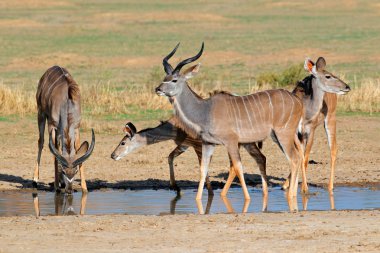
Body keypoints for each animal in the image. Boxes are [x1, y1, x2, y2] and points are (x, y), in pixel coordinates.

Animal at [33, 65, 95, 194]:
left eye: (75, 171)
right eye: (64, 171)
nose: (69, 190)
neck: (66, 104)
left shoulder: (76, 127)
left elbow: (77, 150)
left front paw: (84, 188)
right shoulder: (52, 126)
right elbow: (55, 154)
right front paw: (56, 186)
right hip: (41, 113)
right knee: (41, 142)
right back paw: (35, 179)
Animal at [156, 43, 304, 210]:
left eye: (174, 80)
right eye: (164, 78)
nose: (158, 89)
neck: (205, 110)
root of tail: (298, 101)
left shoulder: (231, 141)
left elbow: (238, 166)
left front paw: (247, 199)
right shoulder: (208, 143)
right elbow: (203, 169)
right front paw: (198, 200)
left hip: (283, 134)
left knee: (293, 159)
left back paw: (291, 196)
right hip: (278, 136)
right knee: (296, 157)